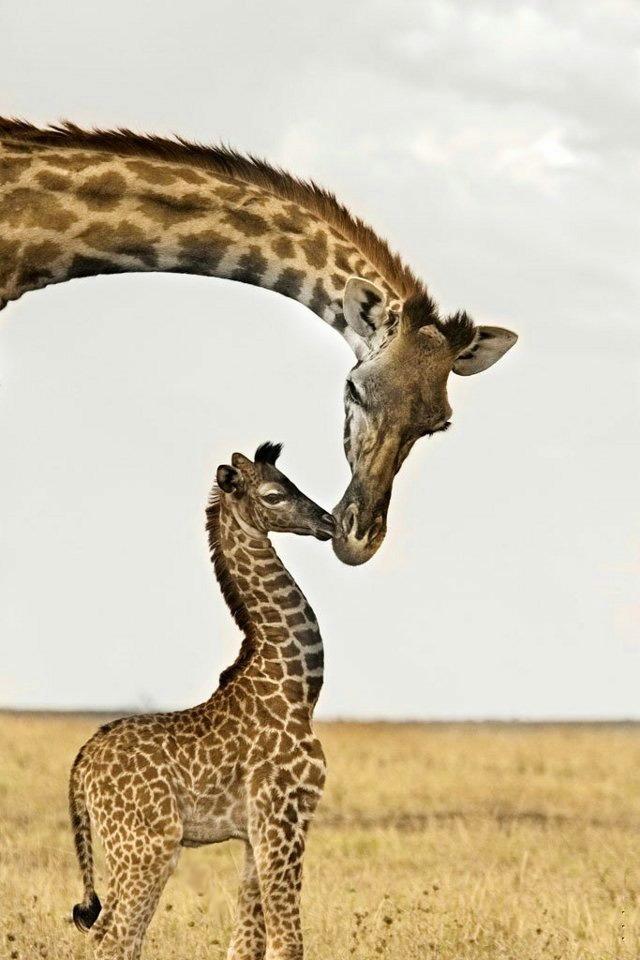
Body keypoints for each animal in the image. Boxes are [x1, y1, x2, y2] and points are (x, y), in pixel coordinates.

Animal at [68, 442, 335, 960]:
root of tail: (81, 766)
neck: (296, 687)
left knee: (115, 936)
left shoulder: (255, 832)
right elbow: (287, 942)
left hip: (132, 848)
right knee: (116, 938)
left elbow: (246, 944)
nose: (329, 522)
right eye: (274, 495)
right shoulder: (285, 814)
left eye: (291, 482)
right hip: (148, 846)